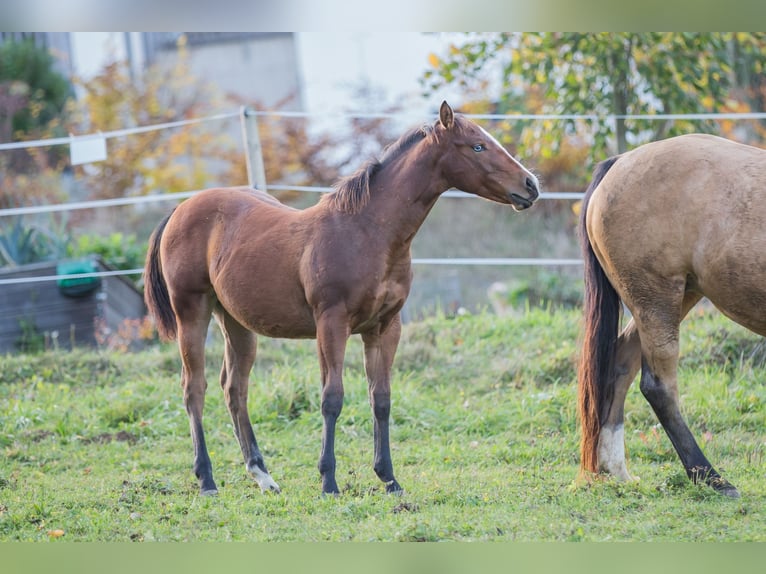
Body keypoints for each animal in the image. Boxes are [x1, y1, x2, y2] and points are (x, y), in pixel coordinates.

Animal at [144, 101, 540, 496]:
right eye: (477, 146)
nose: (531, 185)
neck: (366, 231)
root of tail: (180, 209)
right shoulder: (331, 323)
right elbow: (331, 398)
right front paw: (329, 481)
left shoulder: (384, 327)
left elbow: (381, 399)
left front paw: (389, 478)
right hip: (192, 312)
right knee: (194, 388)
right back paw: (207, 479)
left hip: (236, 322)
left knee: (234, 388)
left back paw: (263, 475)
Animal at [577, 133, 766, 498]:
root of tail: (619, 163)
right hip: (656, 300)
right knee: (658, 388)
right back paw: (710, 477)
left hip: (672, 299)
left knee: (620, 364)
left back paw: (616, 469)